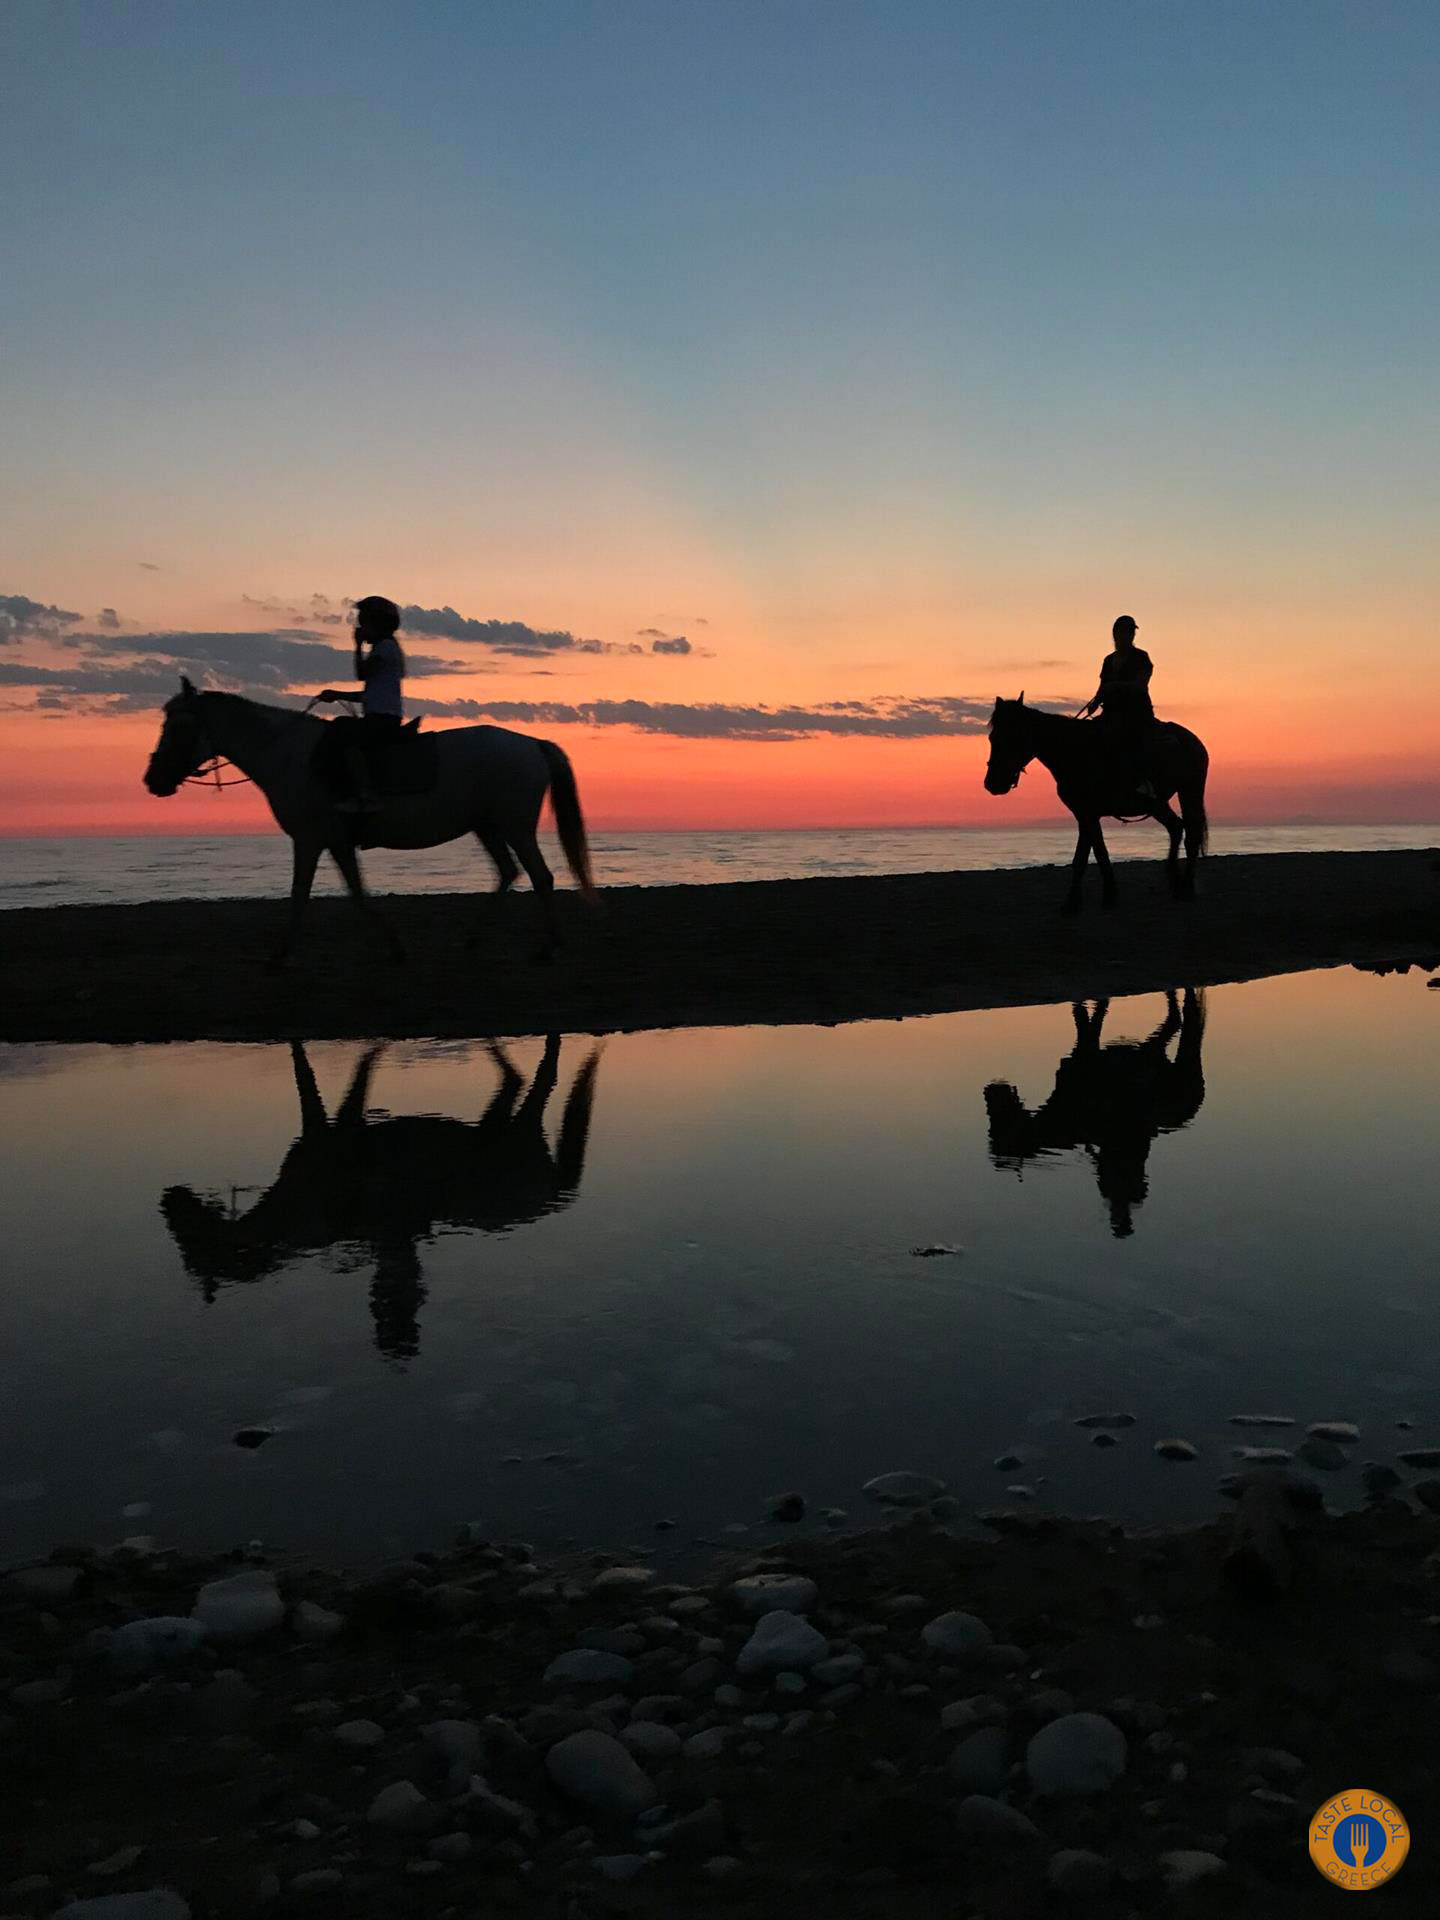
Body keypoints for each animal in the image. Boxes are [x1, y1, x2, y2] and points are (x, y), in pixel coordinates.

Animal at [144, 683, 595, 967]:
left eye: (179, 726)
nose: (153, 780)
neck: (290, 755)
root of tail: (532, 744)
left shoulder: (309, 839)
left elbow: (300, 895)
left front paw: (282, 955)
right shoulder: (337, 842)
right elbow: (358, 895)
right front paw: (395, 947)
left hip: (515, 826)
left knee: (540, 876)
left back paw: (551, 947)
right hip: (487, 826)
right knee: (507, 872)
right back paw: (472, 941)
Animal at [990, 698, 1213, 913]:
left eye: (1012, 737)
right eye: (992, 738)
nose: (992, 783)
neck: (1074, 753)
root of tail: (1194, 740)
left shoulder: (1088, 813)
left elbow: (1090, 853)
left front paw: (1087, 901)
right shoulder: (1083, 814)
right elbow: (1090, 853)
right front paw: (1093, 899)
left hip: (1190, 791)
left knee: (1191, 835)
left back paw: (1186, 888)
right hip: (1157, 804)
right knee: (1175, 827)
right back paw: (1175, 882)